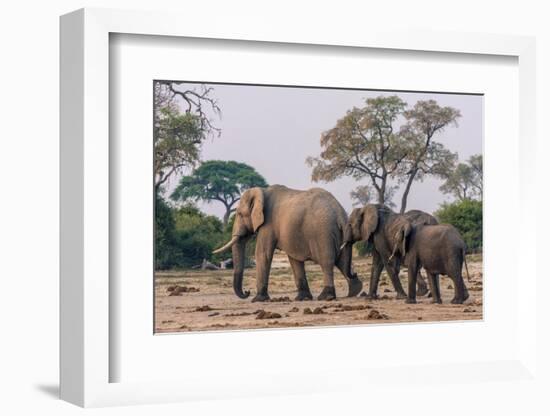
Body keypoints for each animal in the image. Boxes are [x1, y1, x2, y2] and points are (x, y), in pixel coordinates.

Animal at [213, 185, 364, 302]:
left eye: (239, 214)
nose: (247, 292)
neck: (262, 191)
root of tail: (339, 212)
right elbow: (294, 259)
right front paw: (302, 298)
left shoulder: (268, 223)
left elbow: (263, 253)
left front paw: (257, 299)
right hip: (339, 232)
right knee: (342, 260)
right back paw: (355, 290)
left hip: (323, 232)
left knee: (327, 261)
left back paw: (326, 296)